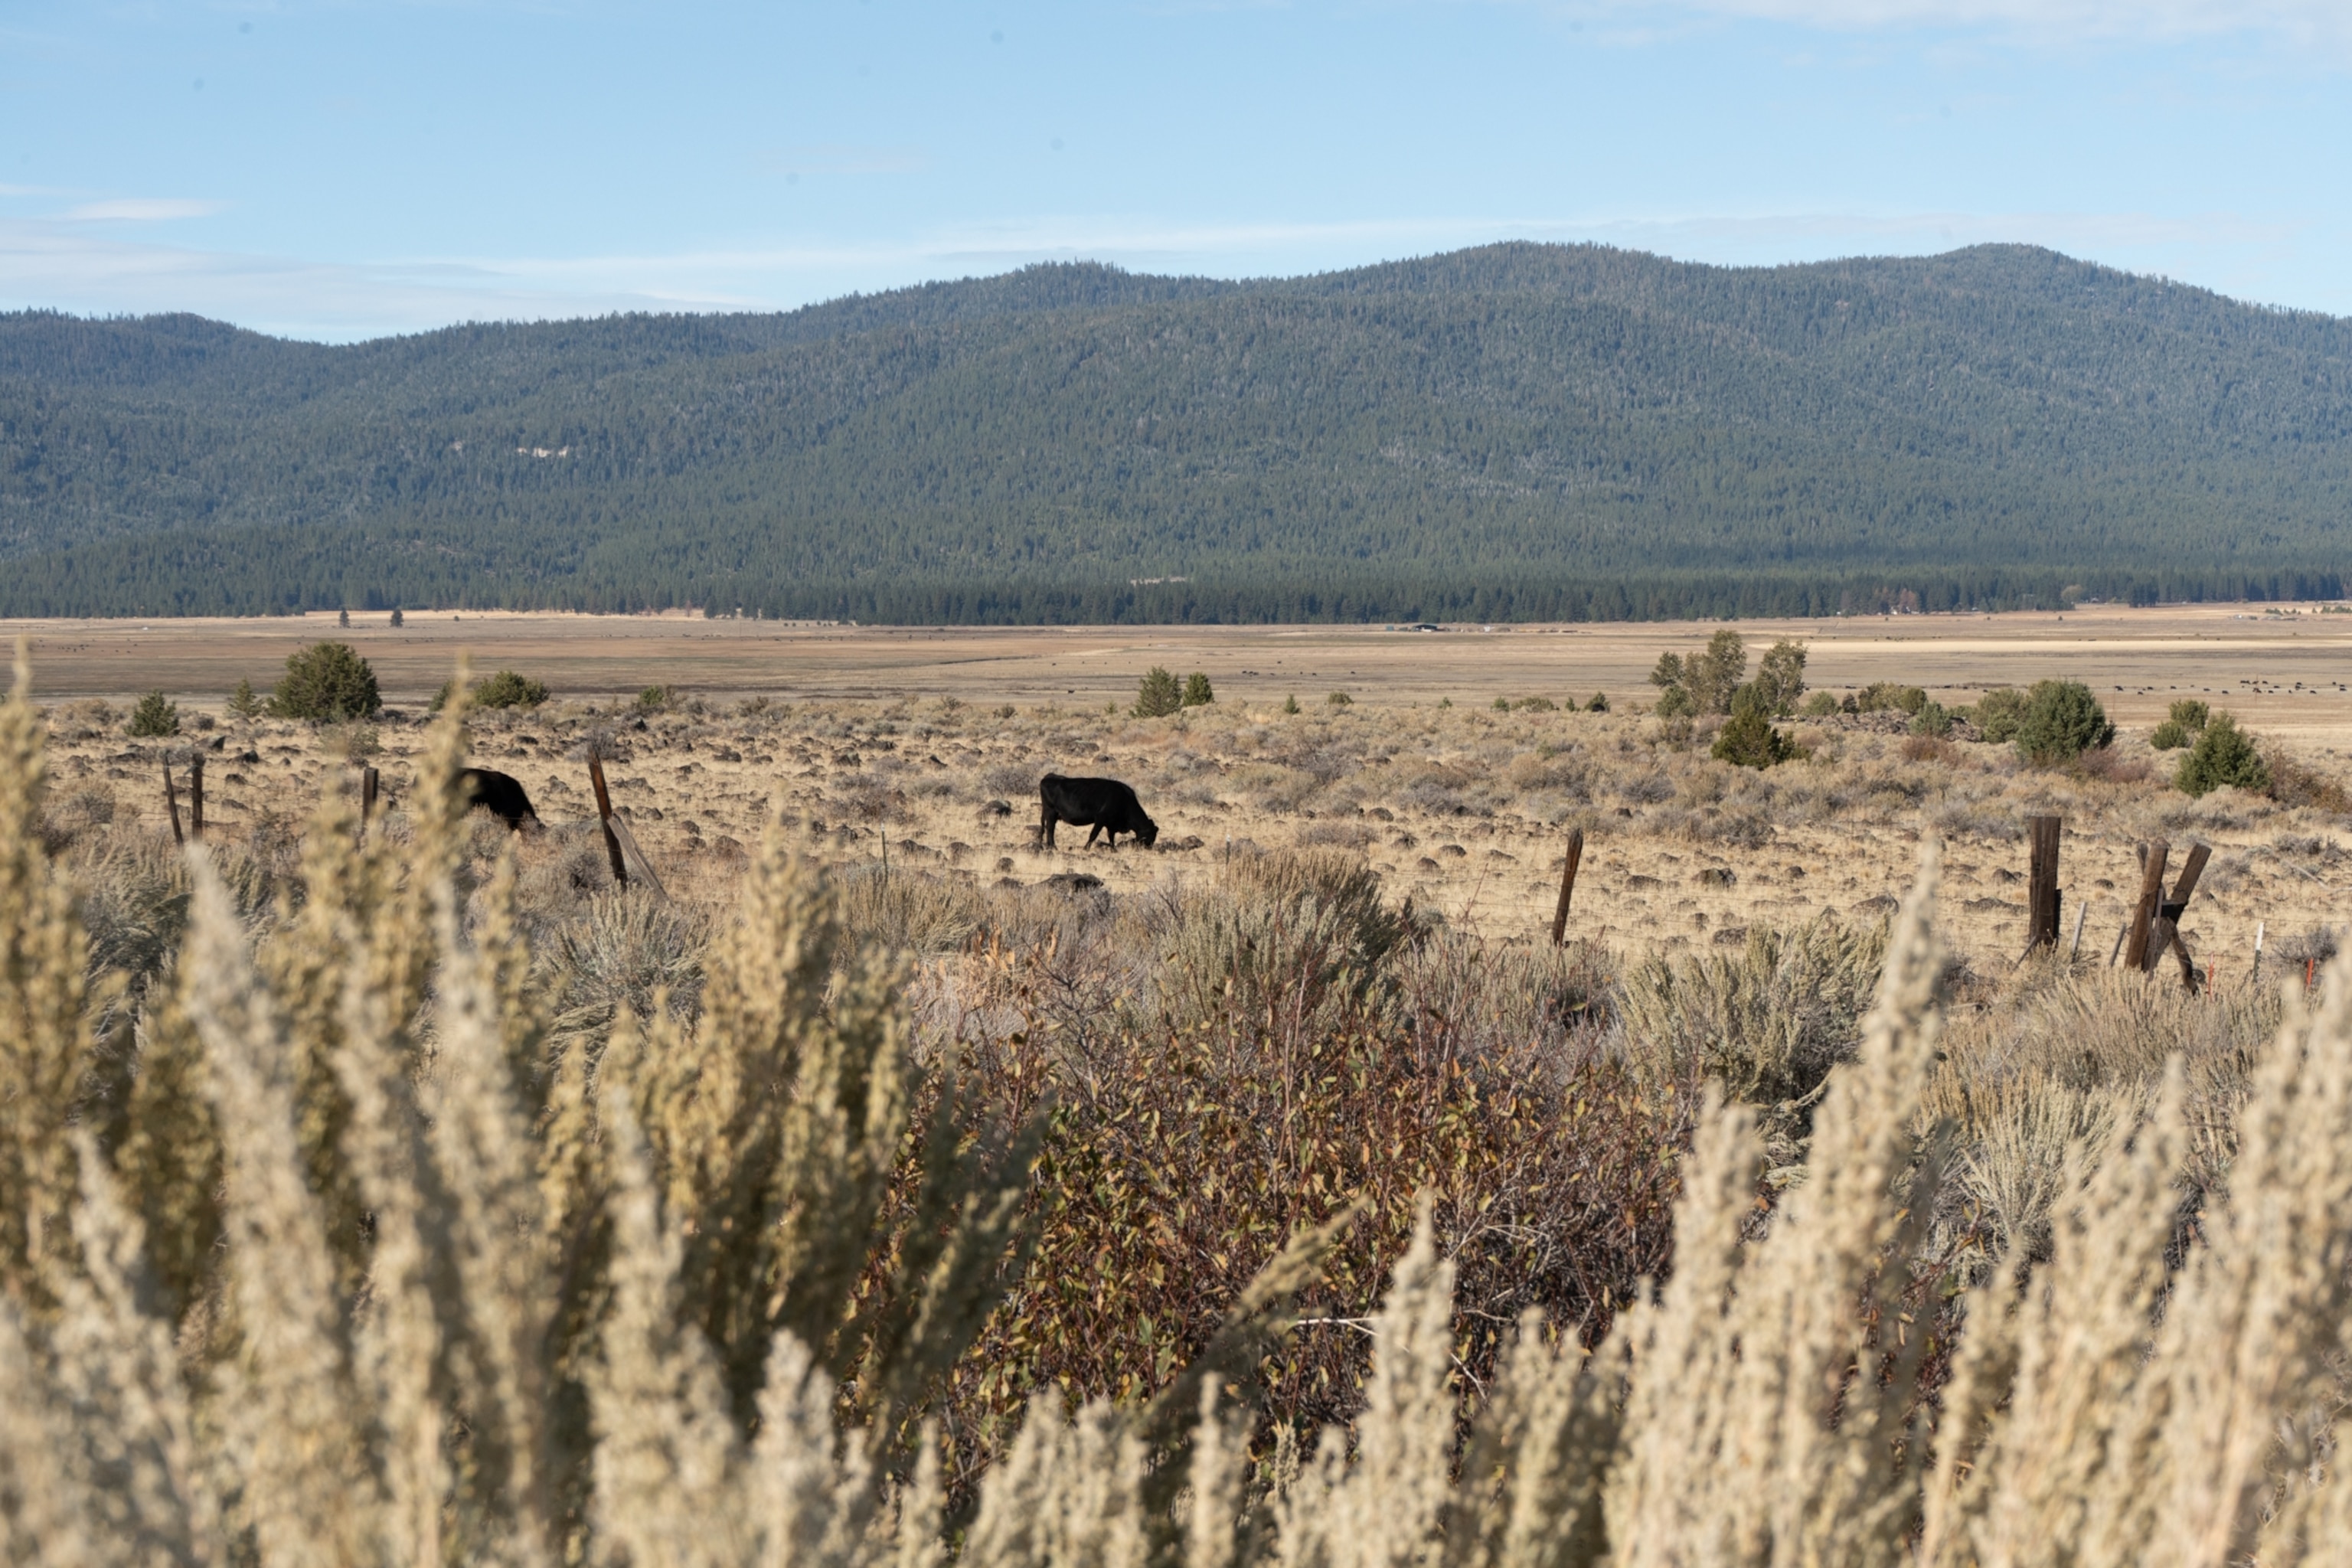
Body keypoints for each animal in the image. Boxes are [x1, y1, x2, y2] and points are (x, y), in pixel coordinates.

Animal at [1039, 774, 1158, 850]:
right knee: (1050, 829)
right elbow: (1093, 835)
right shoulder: (1101, 819)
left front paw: (1113, 849)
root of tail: (1048, 777)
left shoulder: (1111, 824)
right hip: (1051, 813)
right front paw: (1086, 848)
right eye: (1150, 835)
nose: (1149, 848)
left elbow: (1111, 837)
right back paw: (1053, 847)